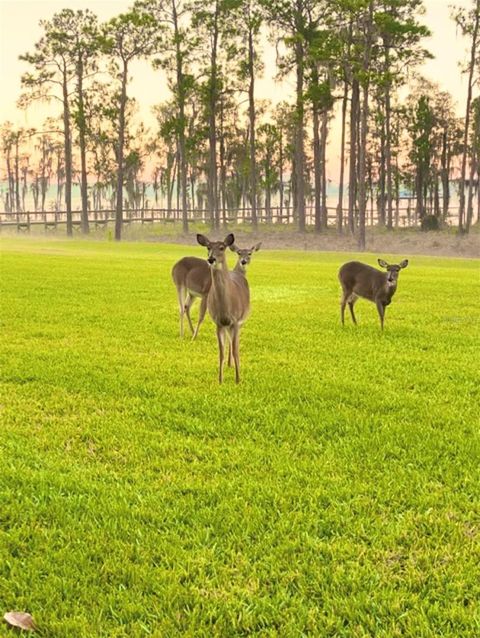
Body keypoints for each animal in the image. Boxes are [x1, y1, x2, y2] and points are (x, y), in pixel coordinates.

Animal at [198, 234, 253, 384]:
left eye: (222, 247)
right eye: (208, 247)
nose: (211, 259)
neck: (226, 306)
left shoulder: (235, 321)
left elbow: (235, 350)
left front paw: (238, 380)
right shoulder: (219, 322)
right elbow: (221, 352)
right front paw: (220, 380)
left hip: (241, 321)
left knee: (236, 345)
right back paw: (229, 364)